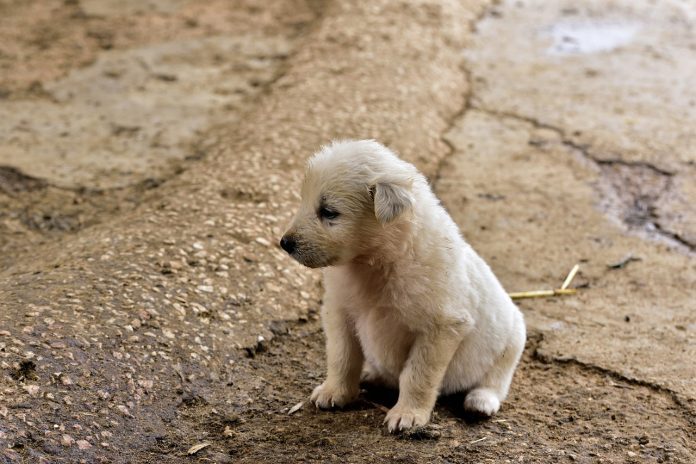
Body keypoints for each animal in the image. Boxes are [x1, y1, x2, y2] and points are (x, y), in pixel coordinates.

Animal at [280, 140, 524, 432]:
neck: (377, 262)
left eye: (328, 212)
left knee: (495, 380)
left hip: (513, 340)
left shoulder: (442, 327)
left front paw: (408, 414)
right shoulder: (339, 311)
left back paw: (480, 402)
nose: (285, 243)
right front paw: (334, 392)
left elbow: (417, 374)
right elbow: (342, 356)